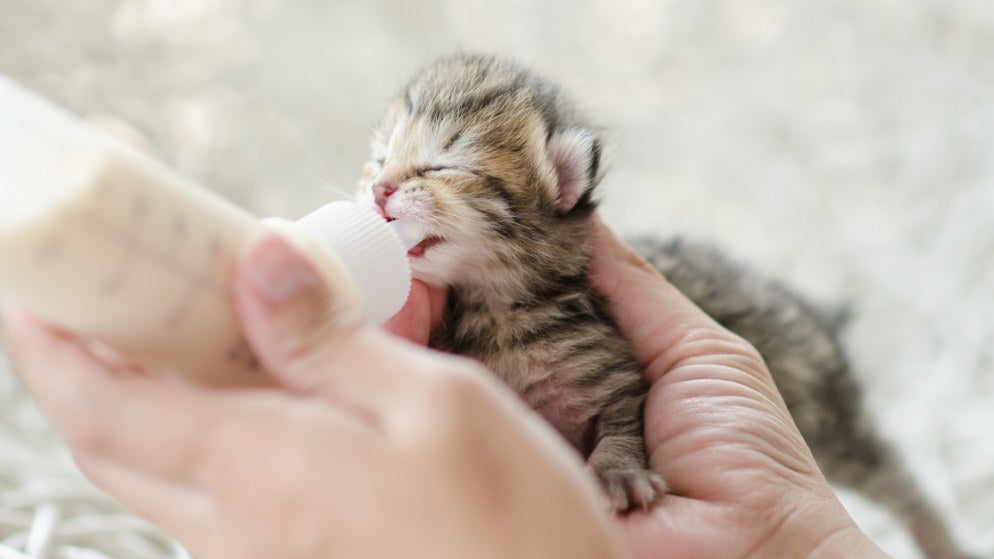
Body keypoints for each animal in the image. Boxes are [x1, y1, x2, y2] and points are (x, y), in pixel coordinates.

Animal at [352, 51, 972, 556]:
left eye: (441, 165)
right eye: (379, 160)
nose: (379, 190)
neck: (497, 311)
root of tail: (811, 310)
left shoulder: (619, 378)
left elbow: (624, 429)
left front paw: (617, 474)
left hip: (827, 414)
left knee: (897, 479)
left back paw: (940, 540)